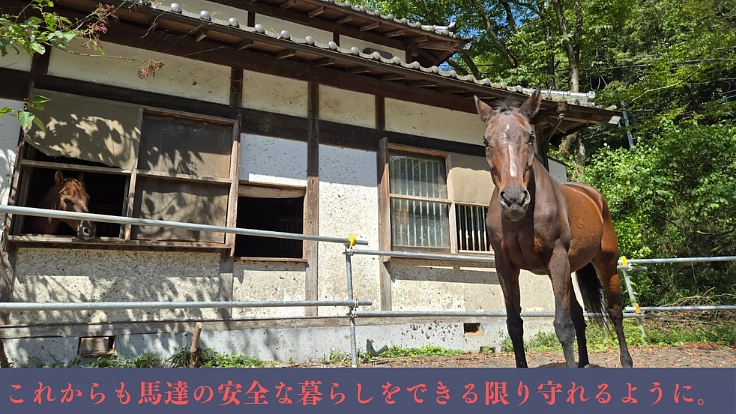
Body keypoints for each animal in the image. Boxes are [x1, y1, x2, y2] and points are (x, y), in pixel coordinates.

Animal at [474, 88, 633, 368]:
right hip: (569, 270)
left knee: (614, 312)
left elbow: (563, 326)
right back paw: (583, 363)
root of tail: (593, 195)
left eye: (530, 137)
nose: (514, 198)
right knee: (579, 315)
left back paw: (626, 361)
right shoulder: (504, 265)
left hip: (606, 262)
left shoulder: (556, 258)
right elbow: (514, 324)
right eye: (486, 141)